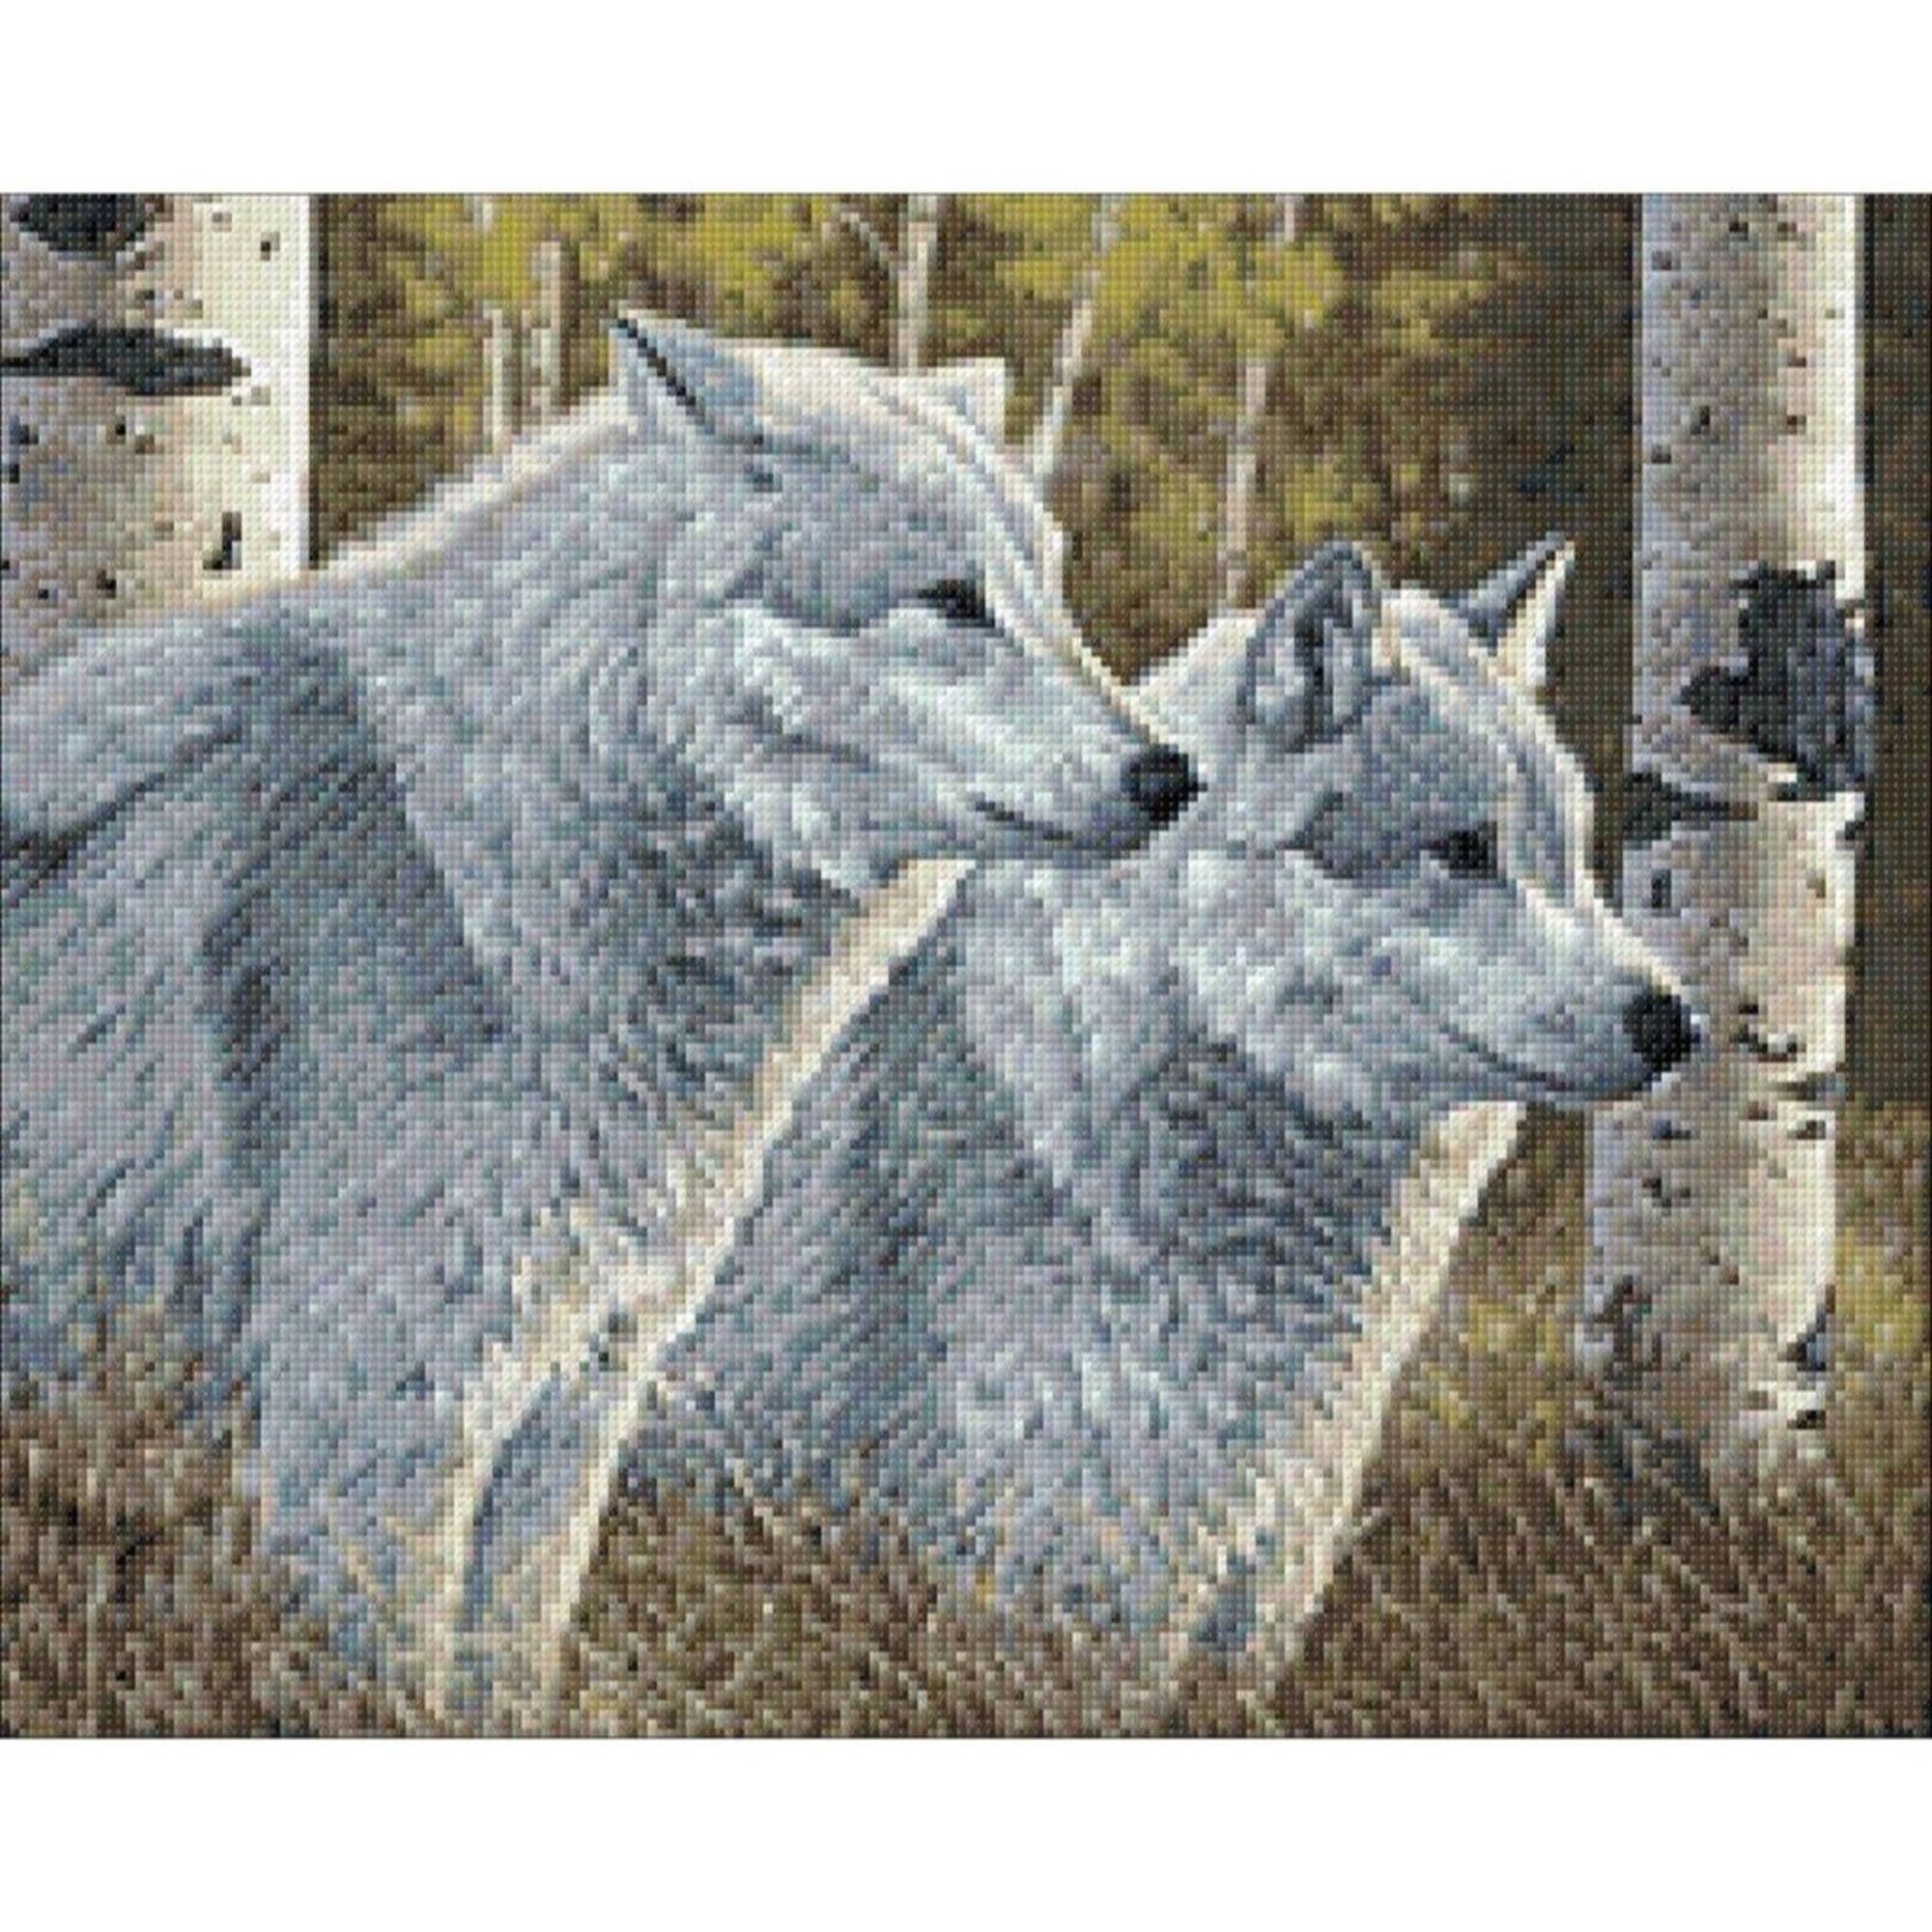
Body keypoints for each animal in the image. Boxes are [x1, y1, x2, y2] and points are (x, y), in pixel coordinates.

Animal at [0, 316, 1193, 1720]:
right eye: (950, 599)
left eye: (1051, 594)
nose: (1173, 776)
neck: (482, 870)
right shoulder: (376, 1421)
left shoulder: (572, 1402)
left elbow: (508, 1683)